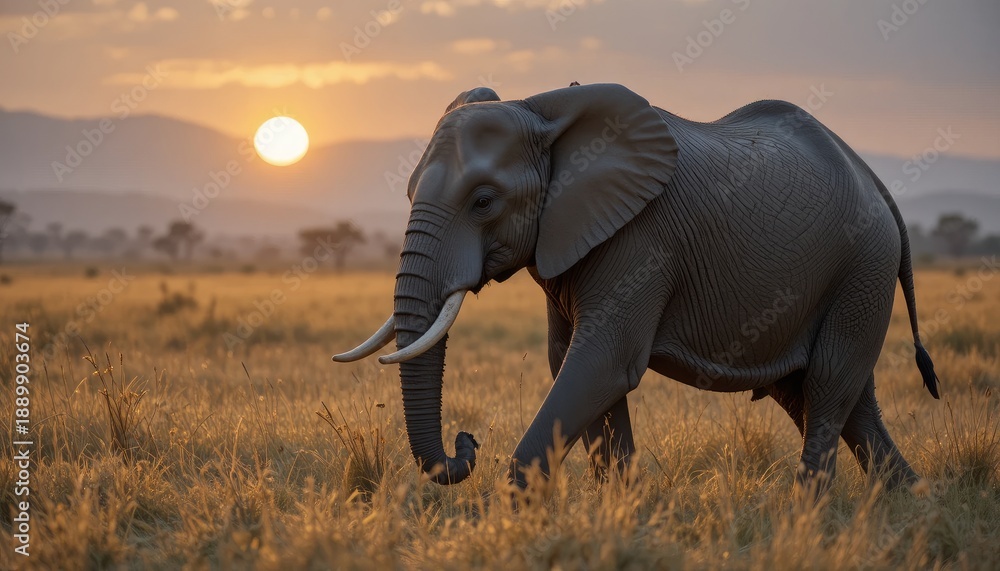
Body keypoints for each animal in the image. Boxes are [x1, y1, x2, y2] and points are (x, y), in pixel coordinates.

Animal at [333, 82, 940, 493]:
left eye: (483, 201)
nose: (468, 440)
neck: (542, 109)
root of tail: (876, 182)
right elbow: (574, 366)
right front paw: (622, 511)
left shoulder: (640, 239)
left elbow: (602, 363)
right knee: (833, 399)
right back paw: (910, 503)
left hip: (863, 265)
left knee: (829, 384)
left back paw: (809, 514)